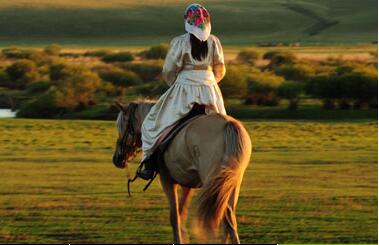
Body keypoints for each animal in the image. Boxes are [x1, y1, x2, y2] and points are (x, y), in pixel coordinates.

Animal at [113, 100, 252, 244]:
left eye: (121, 126)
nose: (117, 159)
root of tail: (228, 125)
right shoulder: (188, 184)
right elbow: (181, 213)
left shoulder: (167, 180)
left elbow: (174, 217)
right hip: (231, 182)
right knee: (228, 217)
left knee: (226, 216)